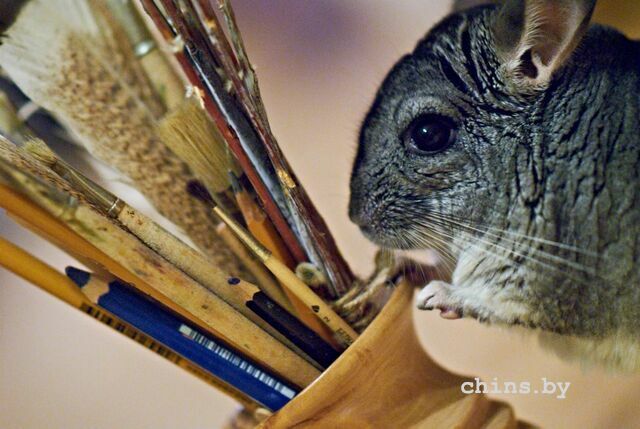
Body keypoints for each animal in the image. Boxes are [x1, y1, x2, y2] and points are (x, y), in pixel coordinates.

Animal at [349, 0, 640, 371]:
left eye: (428, 133)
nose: (355, 217)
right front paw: (398, 266)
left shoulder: (549, 273)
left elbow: (503, 305)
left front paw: (442, 294)